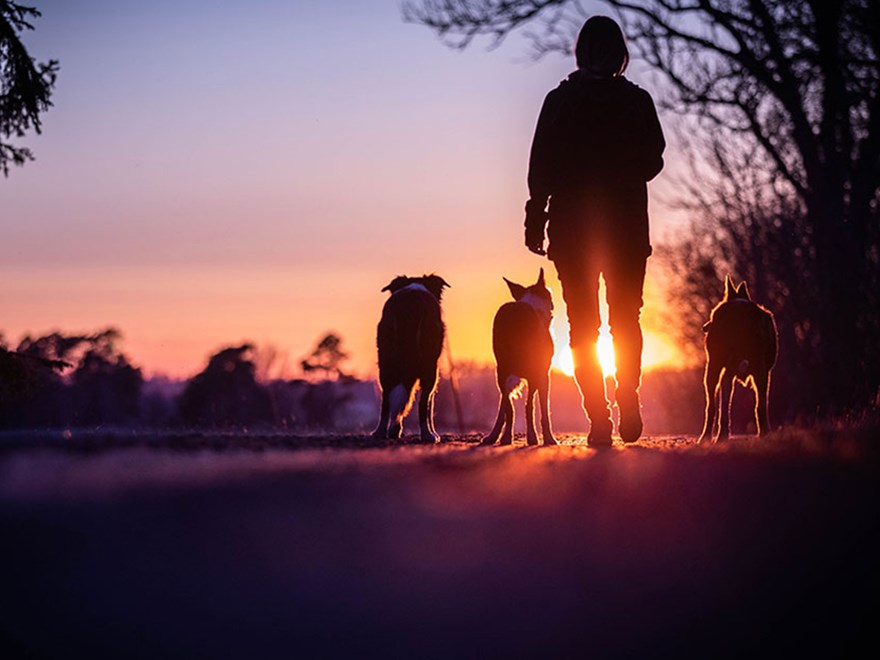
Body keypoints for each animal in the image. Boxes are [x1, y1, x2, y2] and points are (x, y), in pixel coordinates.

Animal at [372, 274, 450, 444]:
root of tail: (410, 303)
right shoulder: (434, 368)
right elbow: (428, 406)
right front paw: (433, 433)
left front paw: (395, 429)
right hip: (429, 367)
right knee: (423, 403)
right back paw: (428, 435)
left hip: (386, 362)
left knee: (386, 400)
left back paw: (380, 432)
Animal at [482, 268, 556, 448]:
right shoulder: (544, 374)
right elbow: (543, 409)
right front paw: (549, 438)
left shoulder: (506, 374)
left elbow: (503, 406)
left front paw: (493, 436)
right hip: (532, 372)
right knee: (529, 406)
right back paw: (532, 437)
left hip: (501, 369)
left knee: (510, 407)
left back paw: (506, 437)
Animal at [700, 274, 776, 444]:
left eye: (711, 314)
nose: (704, 327)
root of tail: (740, 315)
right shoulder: (761, 373)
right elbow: (760, 405)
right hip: (735, 370)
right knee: (757, 406)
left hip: (717, 369)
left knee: (713, 406)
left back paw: (712, 436)